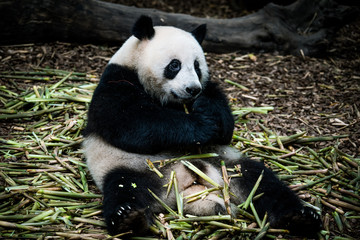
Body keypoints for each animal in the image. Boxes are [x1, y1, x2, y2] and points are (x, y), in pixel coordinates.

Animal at [83, 15, 322, 237]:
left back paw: (300, 217)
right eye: (175, 65)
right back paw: (128, 218)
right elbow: (130, 123)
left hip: (228, 166)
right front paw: (201, 126)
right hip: (136, 168)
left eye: (197, 66)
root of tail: (185, 185)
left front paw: (208, 110)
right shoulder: (116, 82)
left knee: (262, 182)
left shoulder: (208, 87)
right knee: (124, 188)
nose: (192, 89)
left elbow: (224, 123)